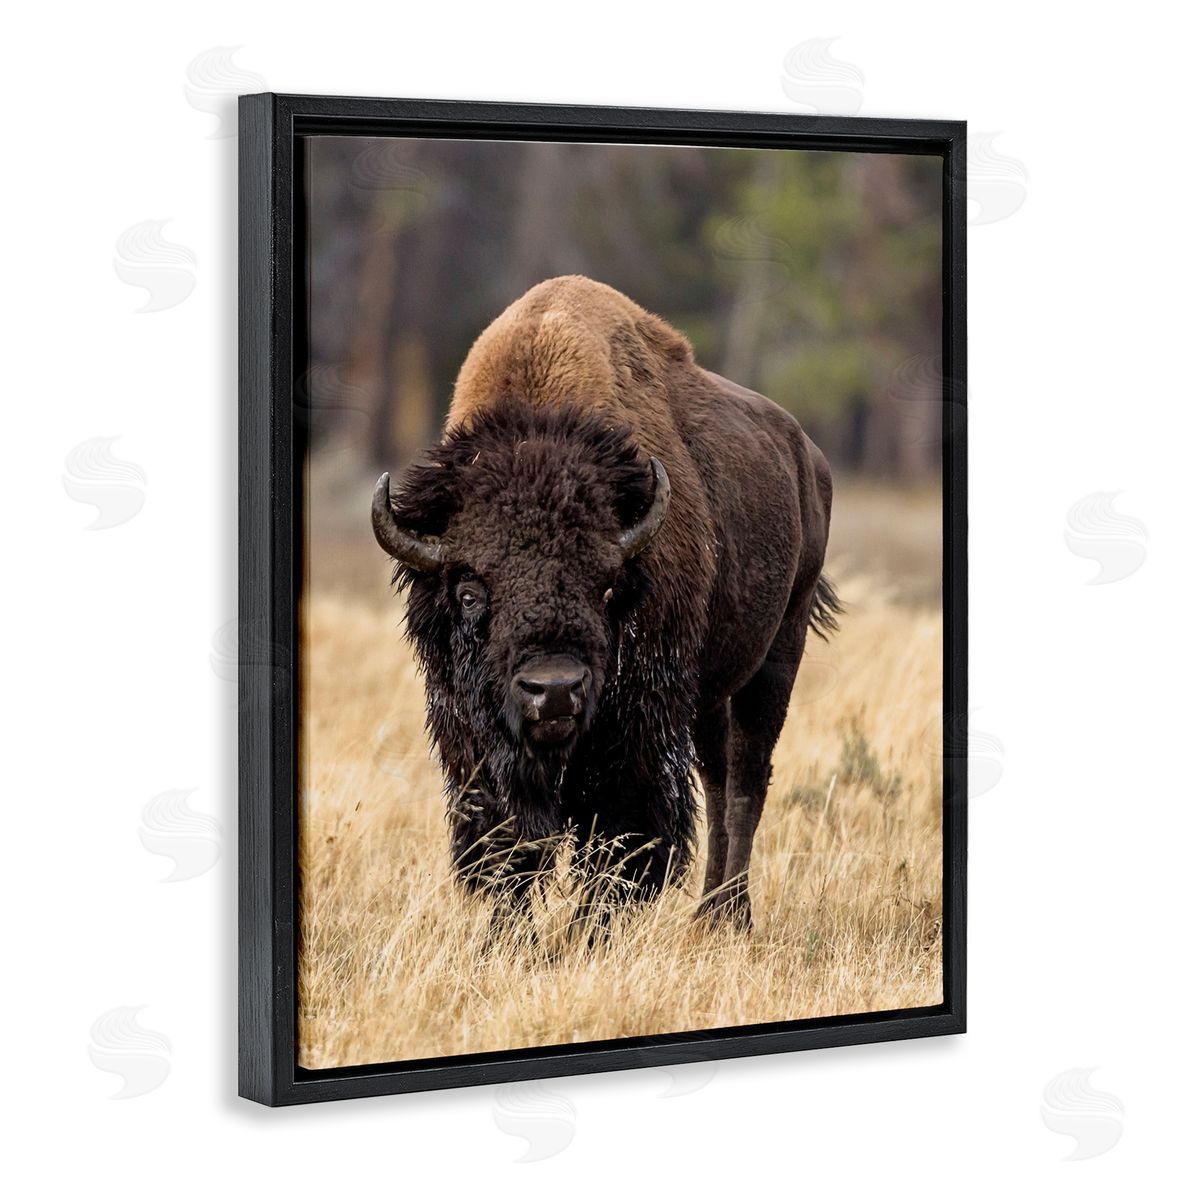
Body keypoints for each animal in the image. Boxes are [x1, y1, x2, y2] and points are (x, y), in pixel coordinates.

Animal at [373, 276, 839, 933]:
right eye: (468, 593)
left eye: (607, 586)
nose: (554, 690)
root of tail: (809, 459)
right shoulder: (474, 742)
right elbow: (509, 844)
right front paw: (509, 938)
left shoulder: (638, 731)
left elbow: (620, 842)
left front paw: (583, 935)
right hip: (709, 691)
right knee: (718, 778)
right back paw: (706, 914)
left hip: (778, 652)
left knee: (747, 781)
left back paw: (731, 917)